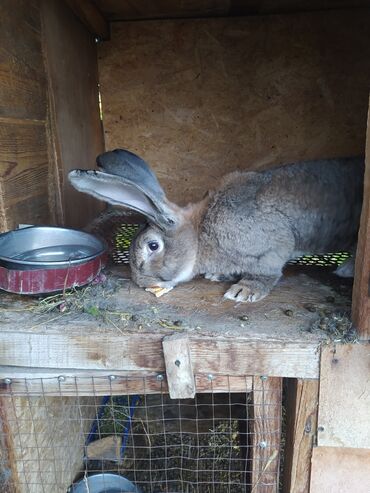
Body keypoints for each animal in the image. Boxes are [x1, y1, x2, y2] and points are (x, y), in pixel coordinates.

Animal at [68, 148, 362, 302]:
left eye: (153, 246)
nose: (142, 283)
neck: (200, 233)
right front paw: (218, 275)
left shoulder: (272, 249)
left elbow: (267, 273)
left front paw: (243, 290)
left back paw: (346, 270)